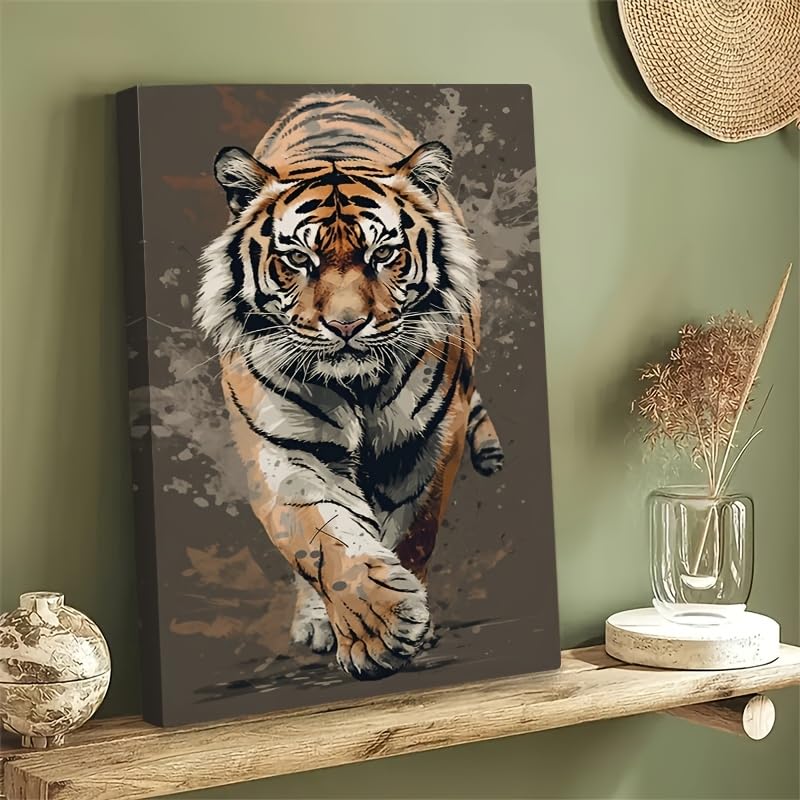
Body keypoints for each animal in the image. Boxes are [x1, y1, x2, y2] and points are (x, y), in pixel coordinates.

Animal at [195, 92, 504, 680]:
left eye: (382, 254)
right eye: (298, 258)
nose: (345, 325)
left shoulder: (426, 442)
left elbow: (408, 531)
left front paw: (408, 626)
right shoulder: (284, 448)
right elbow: (324, 541)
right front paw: (379, 630)